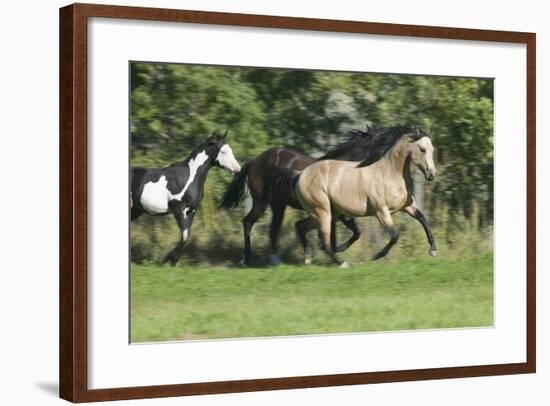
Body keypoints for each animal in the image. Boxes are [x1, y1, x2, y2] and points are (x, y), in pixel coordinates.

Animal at [132, 131, 242, 266]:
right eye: (223, 151)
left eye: (230, 150)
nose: (238, 170)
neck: (189, 177)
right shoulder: (178, 208)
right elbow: (184, 235)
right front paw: (168, 259)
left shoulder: (192, 210)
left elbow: (187, 235)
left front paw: (173, 260)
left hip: (135, 210)